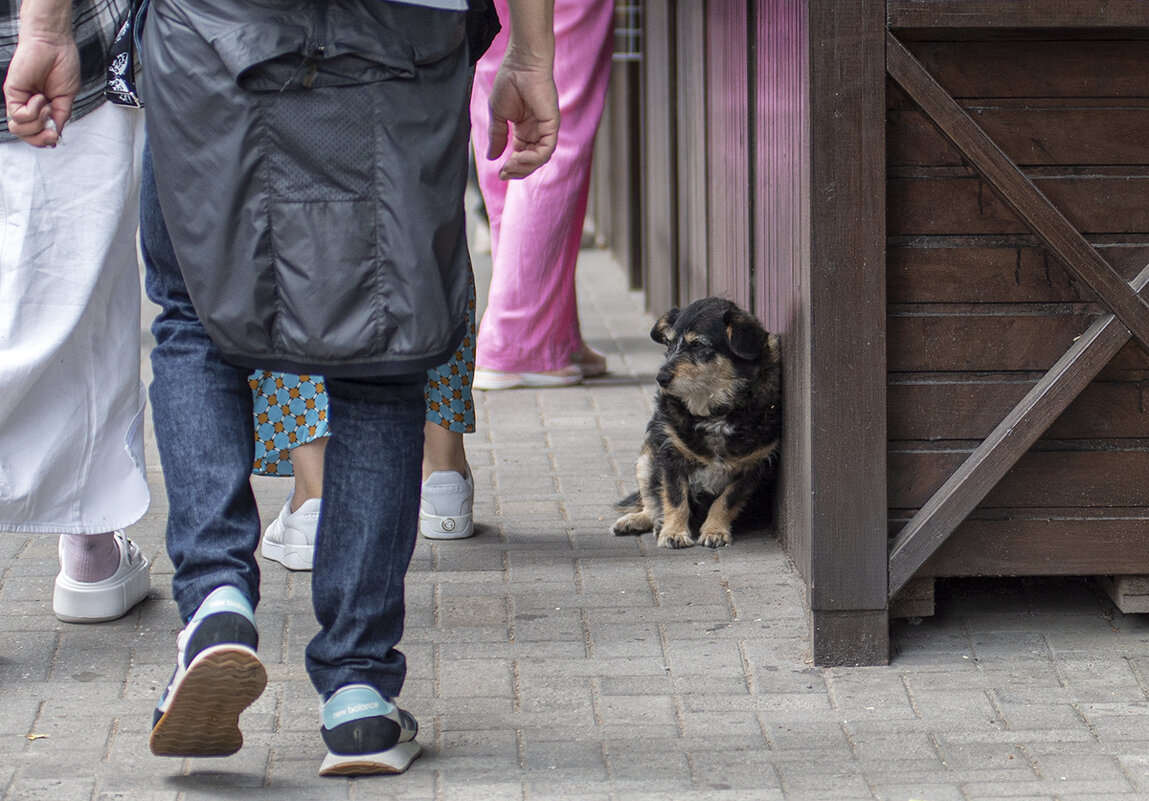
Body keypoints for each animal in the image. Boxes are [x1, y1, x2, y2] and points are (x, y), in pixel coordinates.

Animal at [611, 296, 781, 547]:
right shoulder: (670, 453)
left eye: (698, 345)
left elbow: (726, 501)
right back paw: (641, 521)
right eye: (669, 344)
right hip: (645, 458)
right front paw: (673, 532)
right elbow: (674, 497)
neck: (713, 413)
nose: (660, 378)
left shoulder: (754, 465)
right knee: (651, 503)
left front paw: (715, 531)